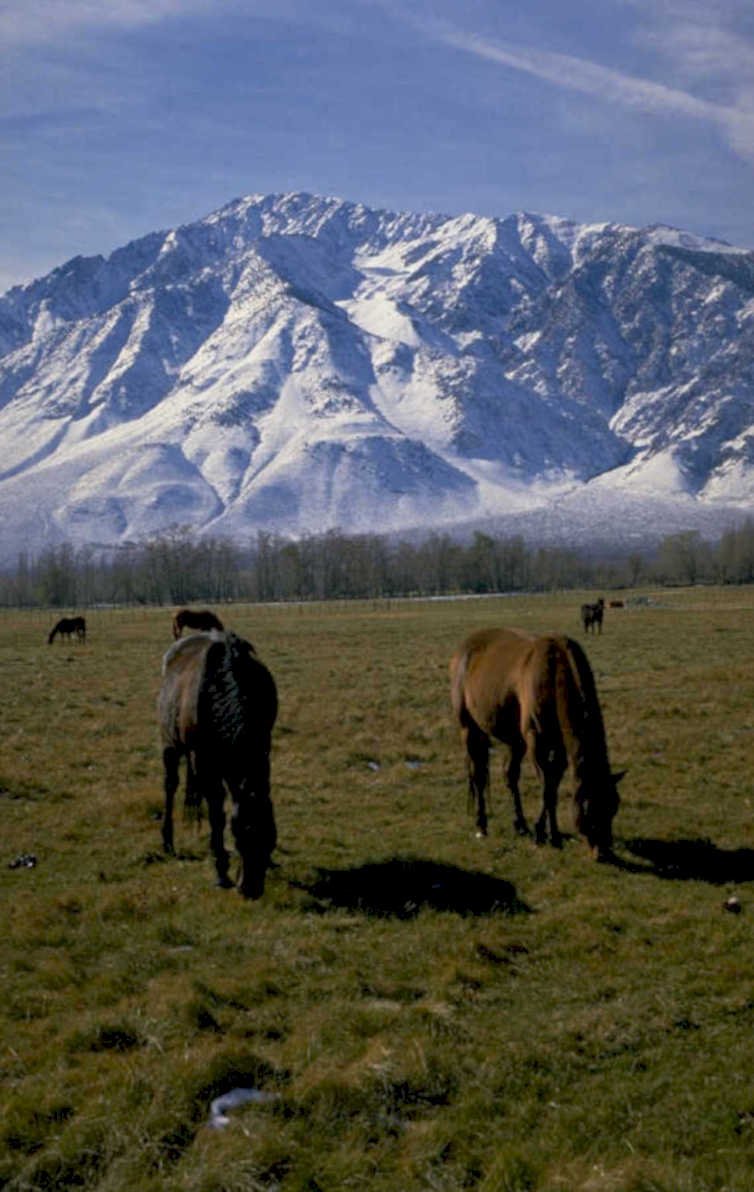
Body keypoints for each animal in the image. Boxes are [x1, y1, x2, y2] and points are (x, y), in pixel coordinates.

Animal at [158, 630, 278, 898]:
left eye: (270, 836)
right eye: (240, 833)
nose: (251, 890)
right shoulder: (206, 763)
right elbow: (216, 814)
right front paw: (221, 871)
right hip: (171, 745)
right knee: (171, 785)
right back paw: (167, 841)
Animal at [450, 627, 623, 860]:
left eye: (613, 807)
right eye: (590, 807)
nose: (604, 852)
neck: (554, 673)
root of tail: (464, 649)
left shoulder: (558, 746)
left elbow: (553, 786)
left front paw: (551, 833)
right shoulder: (537, 743)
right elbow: (547, 789)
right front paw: (545, 834)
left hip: (514, 741)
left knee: (510, 775)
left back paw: (520, 825)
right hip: (469, 729)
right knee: (478, 776)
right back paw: (481, 825)